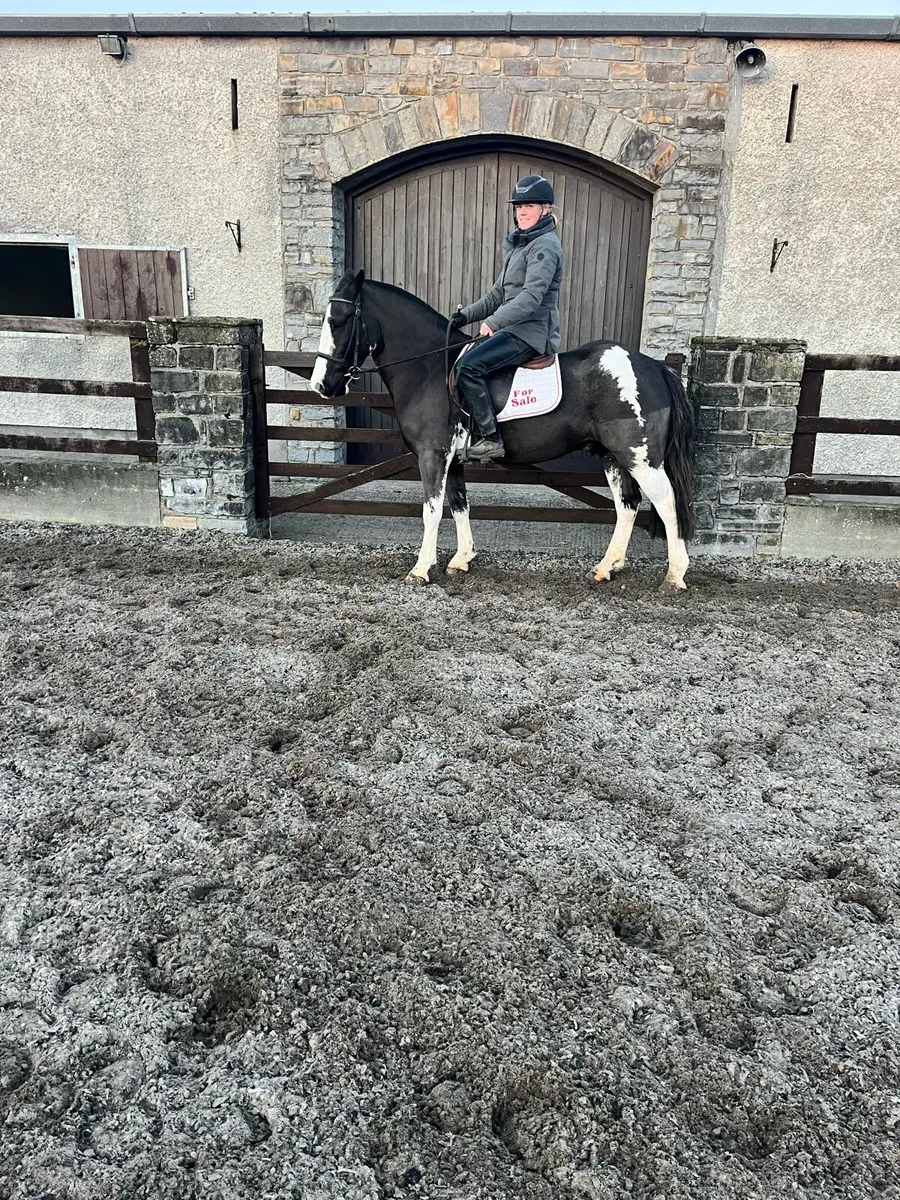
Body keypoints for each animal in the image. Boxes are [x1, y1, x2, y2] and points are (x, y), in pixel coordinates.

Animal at [311, 270, 695, 589]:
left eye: (338, 321)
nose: (321, 385)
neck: (430, 368)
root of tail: (653, 367)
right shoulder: (454, 459)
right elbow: (459, 504)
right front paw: (462, 559)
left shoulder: (433, 456)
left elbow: (431, 510)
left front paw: (420, 570)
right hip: (613, 456)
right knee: (627, 505)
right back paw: (606, 568)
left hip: (641, 457)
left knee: (665, 502)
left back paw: (675, 575)